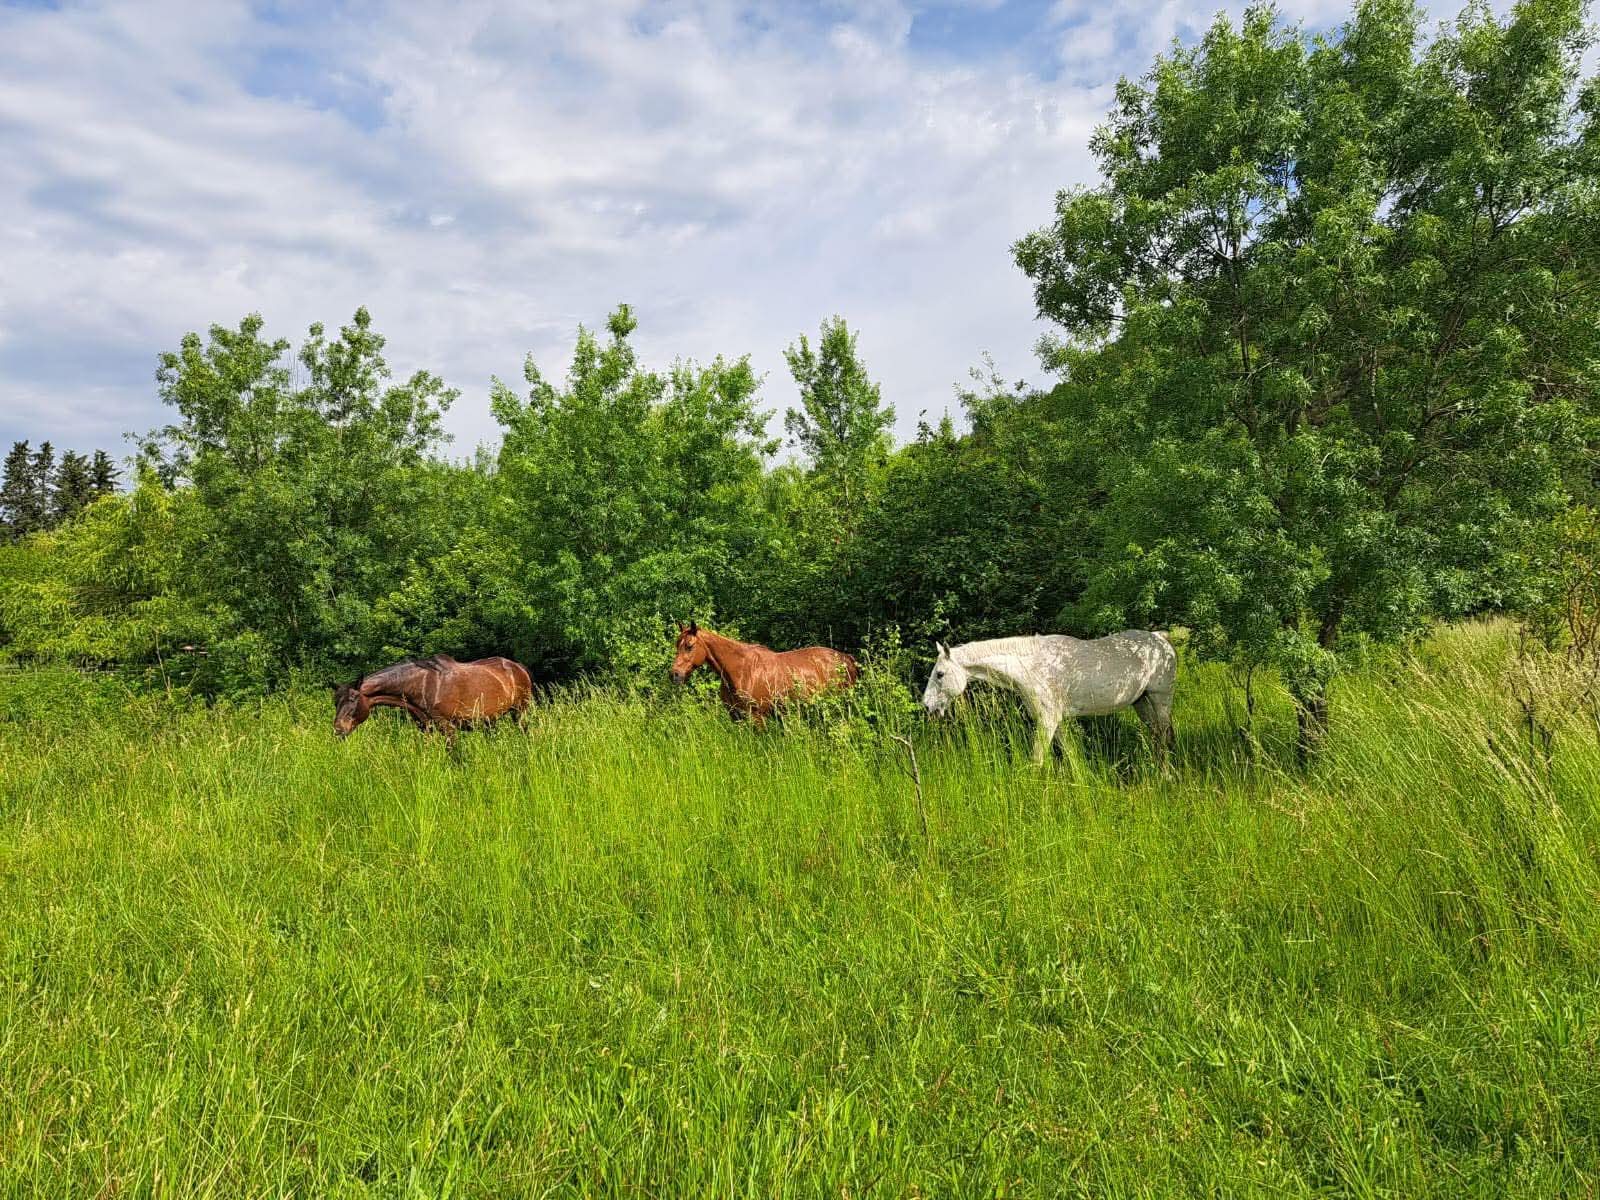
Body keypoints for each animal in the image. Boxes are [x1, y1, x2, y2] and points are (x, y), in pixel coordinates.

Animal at [332, 654, 533, 745]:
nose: (338, 730)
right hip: (490, 721)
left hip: (520, 712)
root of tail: (518, 667)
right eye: (335, 701)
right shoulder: (425, 728)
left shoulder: (447, 727)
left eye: (353, 699)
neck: (424, 685)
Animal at [669, 621, 859, 724]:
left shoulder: (756, 717)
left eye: (689, 646)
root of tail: (846, 658)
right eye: (677, 645)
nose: (674, 675)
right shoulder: (736, 716)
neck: (741, 670)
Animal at [921, 631, 1175, 765]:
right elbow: (1071, 754)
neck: (1032, 666)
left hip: (1161, 699)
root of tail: (1161, 640)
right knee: (1156, 735)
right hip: (1142, 703)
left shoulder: (1047, 721)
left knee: (1163, 735)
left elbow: (1037, 759)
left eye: (940, 674)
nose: (927, 706)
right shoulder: (1055, 722)